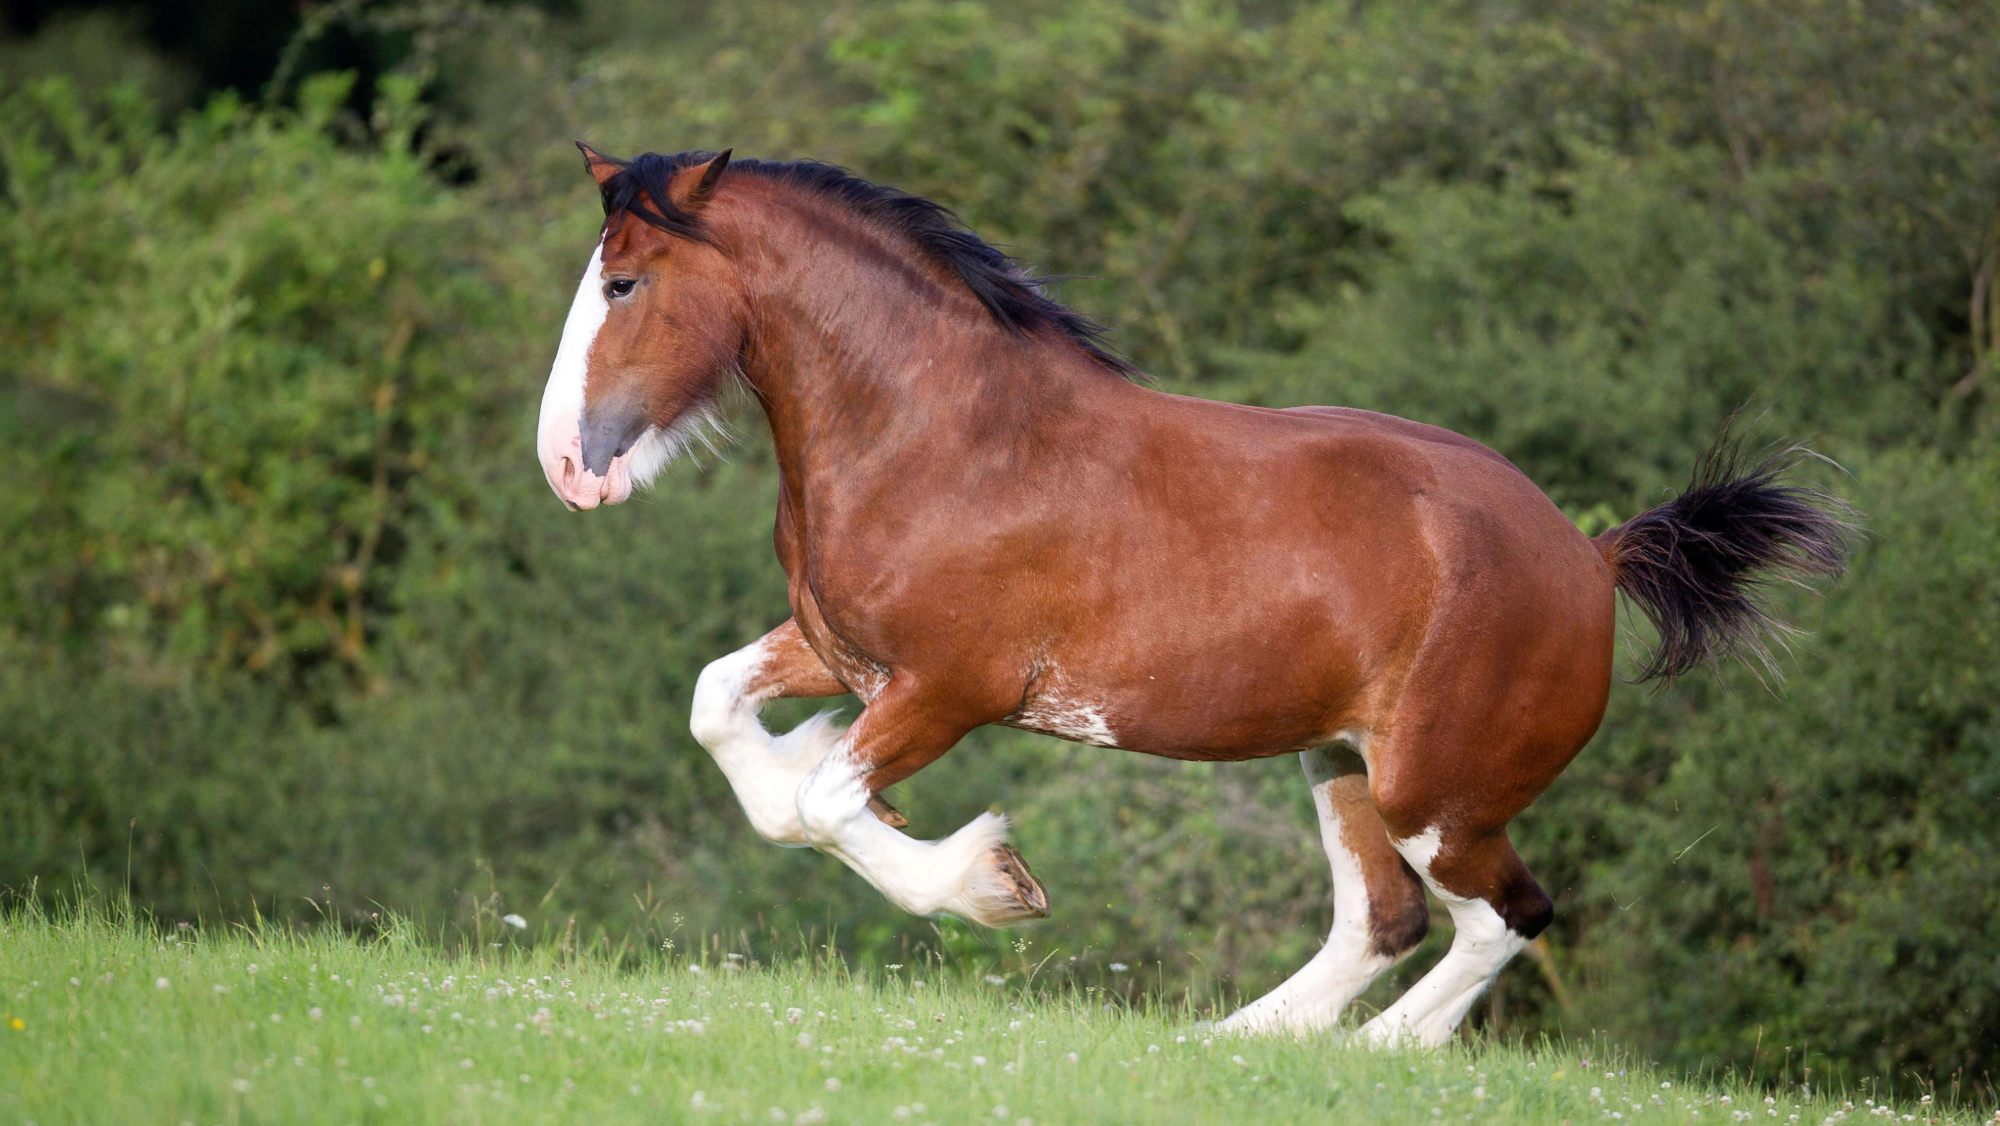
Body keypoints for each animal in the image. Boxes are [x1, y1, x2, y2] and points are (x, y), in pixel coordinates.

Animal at [534, 145, 1852, 1046]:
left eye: (625, 285)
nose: (564, 466)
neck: (936, 433)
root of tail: (1589, 556)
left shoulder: (950, 687)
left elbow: (821, 799)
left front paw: (992, 881)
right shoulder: (839, 647)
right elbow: (727, 718)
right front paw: (854, 787)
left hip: (1439, 791)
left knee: (1503, 915)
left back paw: (1374, 1055)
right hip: (1341, 763)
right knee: (1381, 918)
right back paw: (1236, 1045)